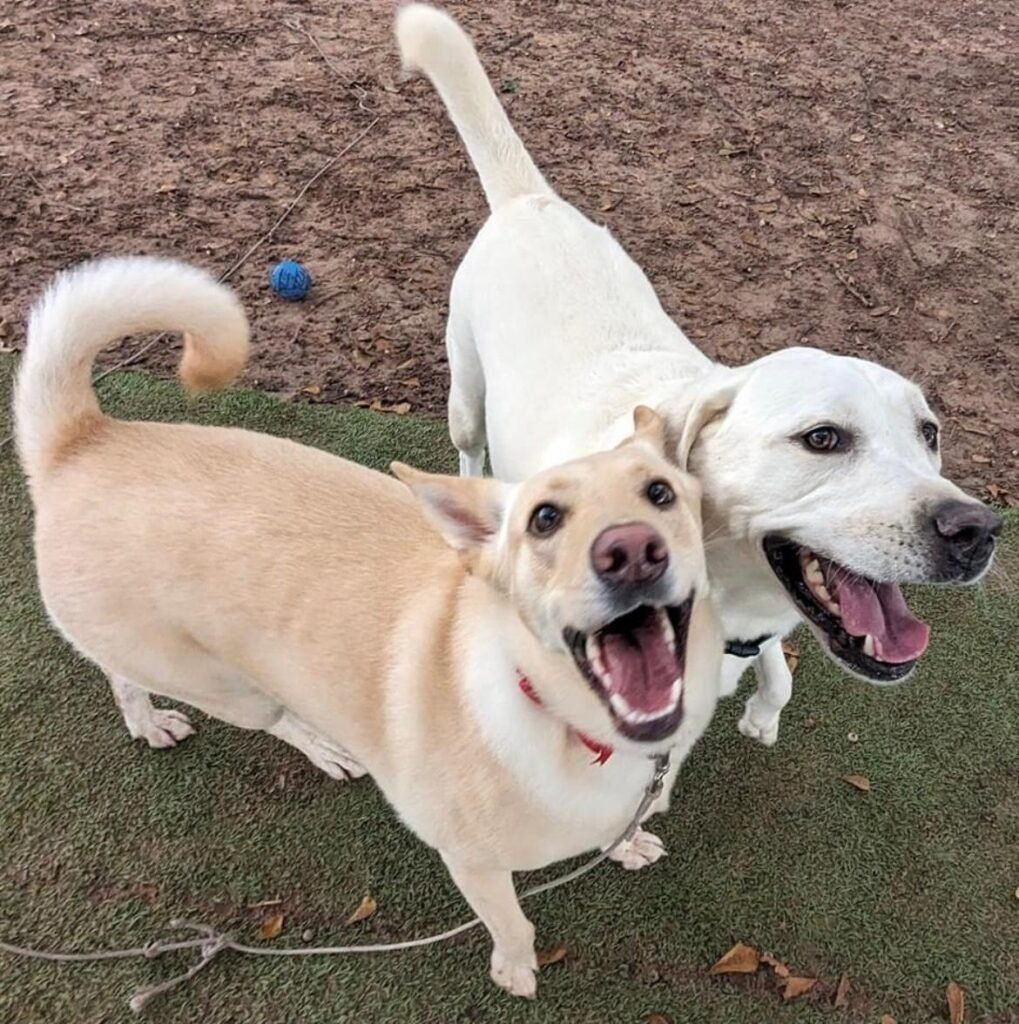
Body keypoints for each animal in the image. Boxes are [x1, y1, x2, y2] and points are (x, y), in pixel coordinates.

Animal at [11, 258, 720, 999]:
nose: (631, 550)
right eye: (544, 519)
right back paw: (208, 730)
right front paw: (516, 972)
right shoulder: (469, 860)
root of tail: (81, 439)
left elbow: (613, 832)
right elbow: (513, 925)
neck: (566, 725)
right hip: (217, 682)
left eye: (660, 493)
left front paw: (629, 844)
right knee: (189, 693)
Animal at [395, 4, 999, 749]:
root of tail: (528, 201)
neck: (723, 596)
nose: (976, 530)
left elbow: (778, 672)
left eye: (928, 433)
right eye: (822, 439)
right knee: (469, 448)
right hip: (466, 397)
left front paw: (763, 711)